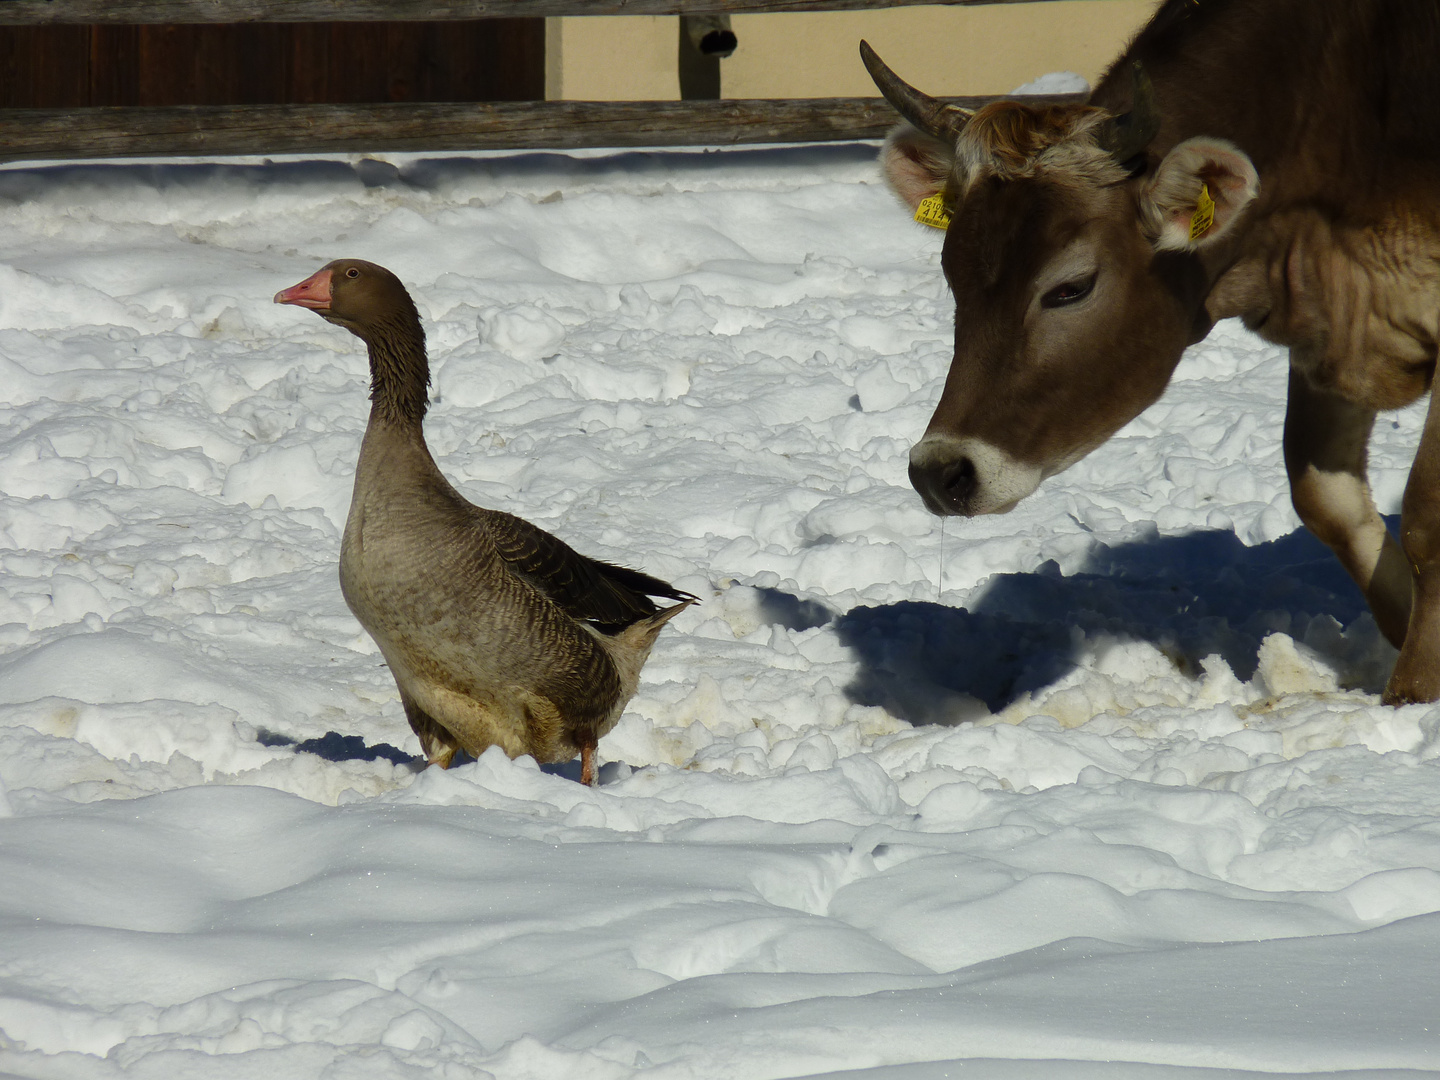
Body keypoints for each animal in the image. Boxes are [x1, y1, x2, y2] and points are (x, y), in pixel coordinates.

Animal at [858, 0, 1440, 705]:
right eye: (953, 274)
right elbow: (1325, 498)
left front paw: (1415, 693)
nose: (940, 472)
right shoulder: (1324, 319)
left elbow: (1427, 516)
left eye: (1072, 287)